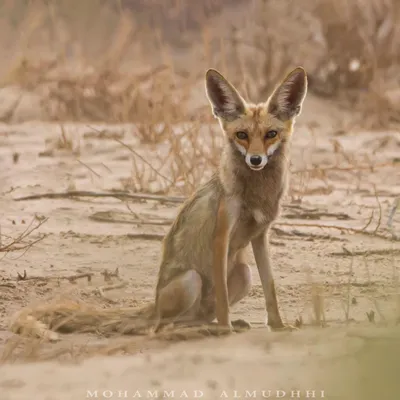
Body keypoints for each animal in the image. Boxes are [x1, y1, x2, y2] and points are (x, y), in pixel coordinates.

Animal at [10, 65, 310, 338]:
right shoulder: (221, 235)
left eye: (271, 134)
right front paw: (226, 330)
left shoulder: (260, 235)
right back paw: (204, 329)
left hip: (243, 275)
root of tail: (153, 306)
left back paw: (210, 326)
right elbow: (224, 299)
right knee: (160, 326)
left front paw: (278, 326)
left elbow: (270, 289)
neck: (256, 195)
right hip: (191, 280)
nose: (256, 160)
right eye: (242, 135)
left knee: (190, 318)